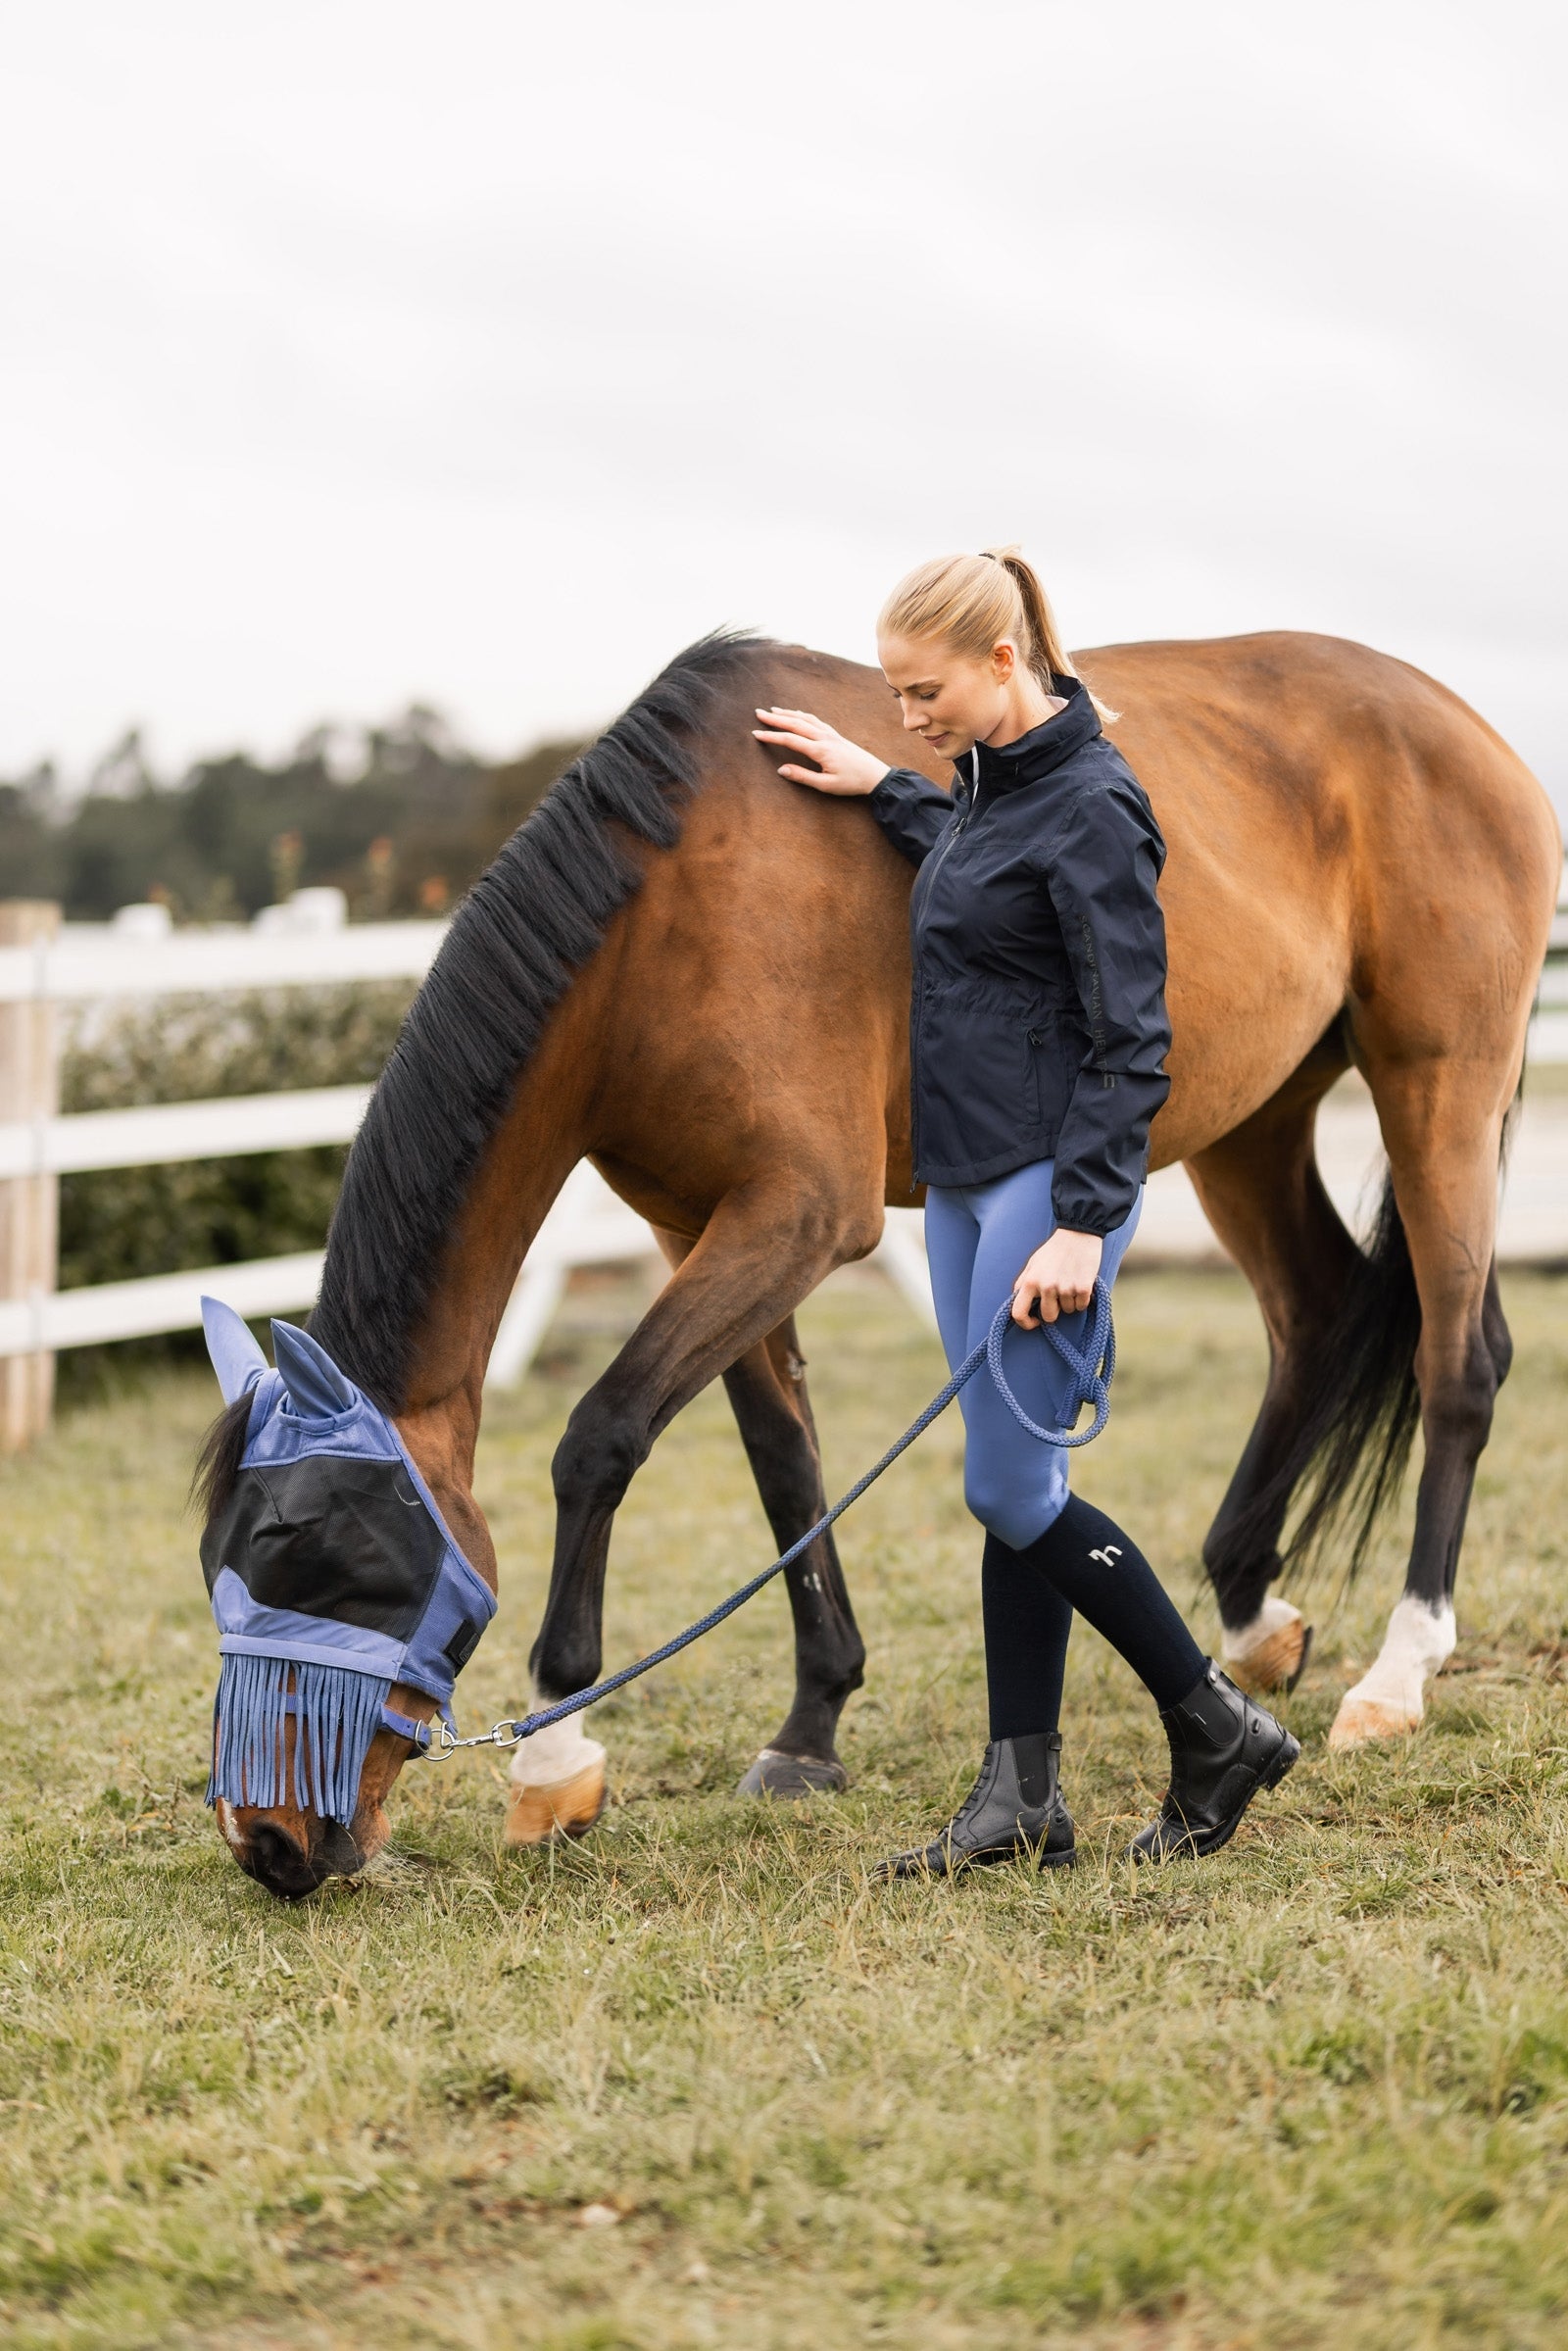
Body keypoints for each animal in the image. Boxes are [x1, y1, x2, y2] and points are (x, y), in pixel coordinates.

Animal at [194, 628, 1560, 1898]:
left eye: (323, 1557)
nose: (269, 1842)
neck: (673, 894)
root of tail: (1462, 725)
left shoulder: (800, 1216)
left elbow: (602, 1437)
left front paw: (554, 1758)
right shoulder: (698, 1222)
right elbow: (782, 1462)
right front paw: (811, 1726)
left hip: (1435, 1084)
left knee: (1459, 1362)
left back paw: (1398, 1671)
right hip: (1249, 1120)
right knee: (1318, 1315)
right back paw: (1250, 1616)